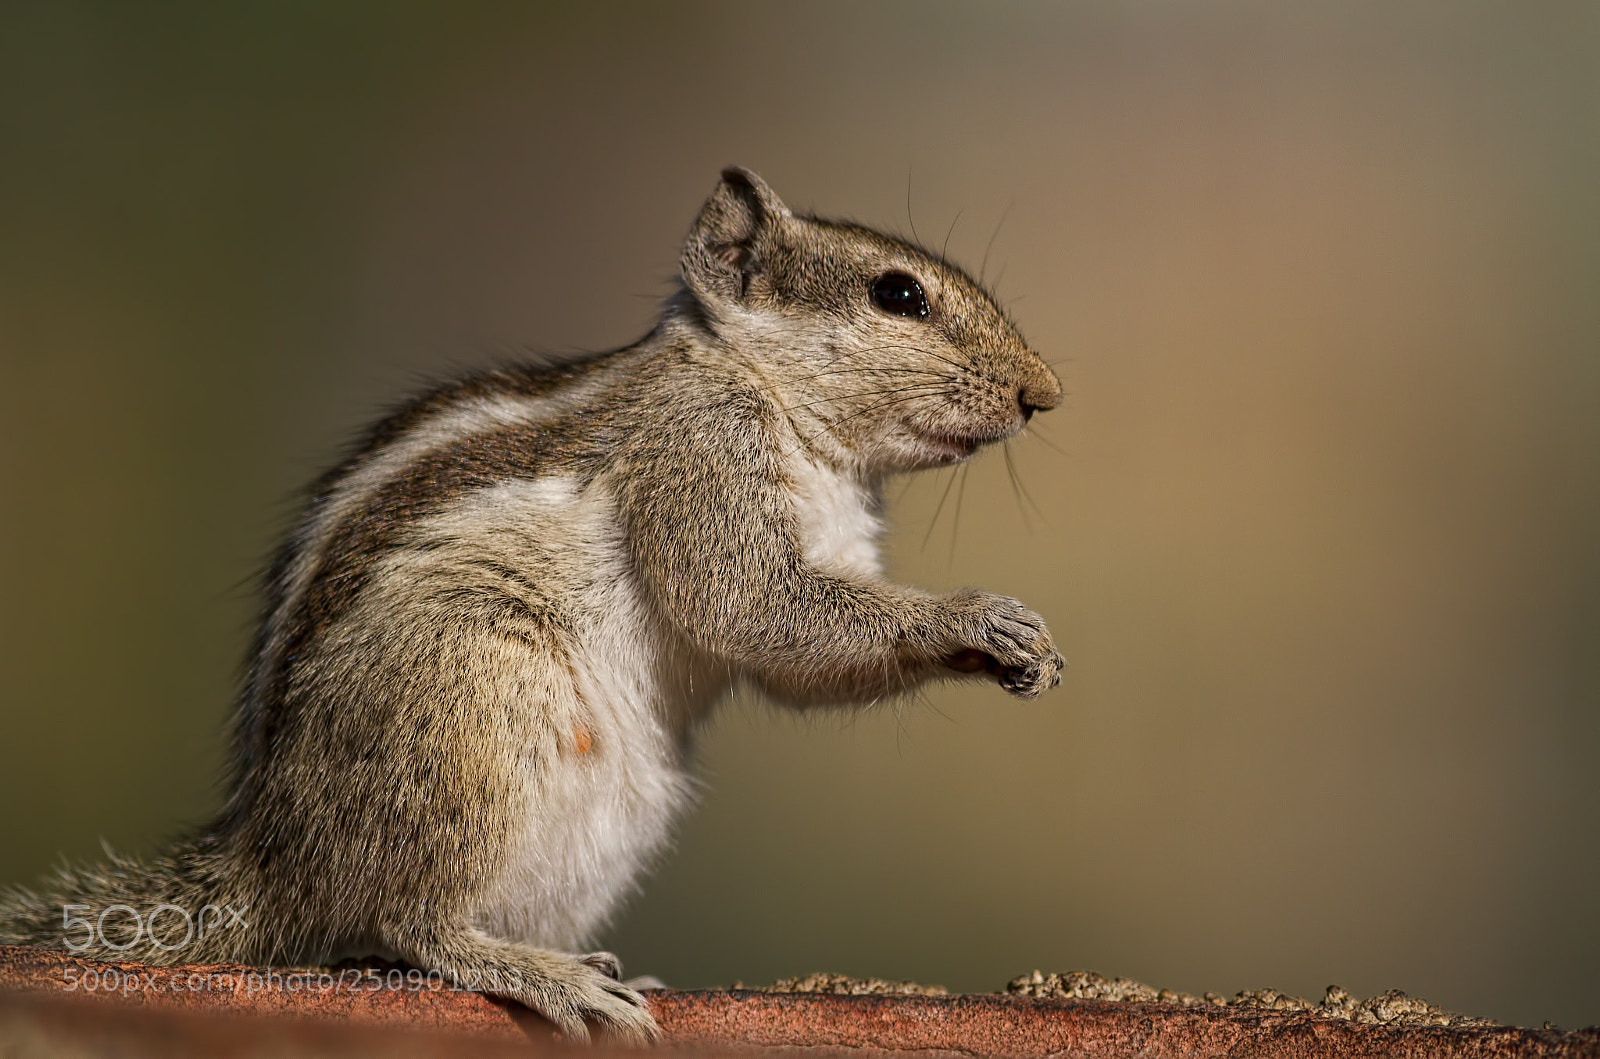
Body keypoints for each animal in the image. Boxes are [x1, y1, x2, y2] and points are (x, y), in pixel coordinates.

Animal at [0, 167, 1064, 1043]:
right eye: (898, 294)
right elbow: (758, 610)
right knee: (402, 921)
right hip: (472, 712)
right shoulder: (701, 455)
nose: (1043, 393)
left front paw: (1019, 649)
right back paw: (541, 974)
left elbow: (804, 657)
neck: (757, 385)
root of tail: (271, 861)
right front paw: (972, 617)